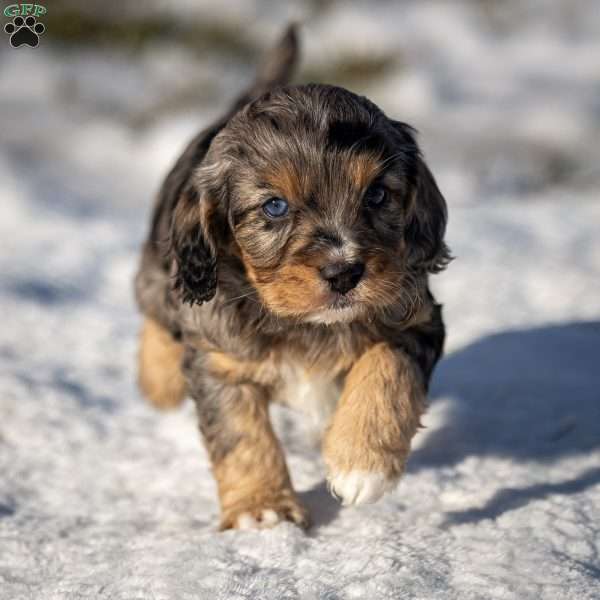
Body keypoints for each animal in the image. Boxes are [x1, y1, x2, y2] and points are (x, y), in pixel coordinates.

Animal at [134, 25, 448, 528]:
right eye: (275, 207)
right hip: (162, 273)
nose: (345, 272)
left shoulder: (415, 319)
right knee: (155, 307)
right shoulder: (220, 361)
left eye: (377, 195)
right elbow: (242, 436)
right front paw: (262, 511)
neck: (306, 324)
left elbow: (387, 369)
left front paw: (362, 465)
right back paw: (159, 380)